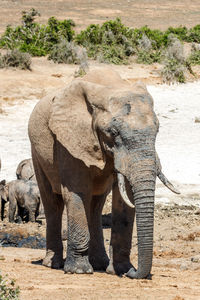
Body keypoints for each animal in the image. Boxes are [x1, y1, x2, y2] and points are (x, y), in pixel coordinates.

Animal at [27, 68, 179, 278]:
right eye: (113, 132)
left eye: (157, 130)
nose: (134, 273)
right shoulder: (68, 141)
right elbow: (78, 191)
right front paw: (79, 271)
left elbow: (124, 198)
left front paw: (121, 270)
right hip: (37, 151)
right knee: (53, 202)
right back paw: (53, 264)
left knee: (95, 205)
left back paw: (99, 263)